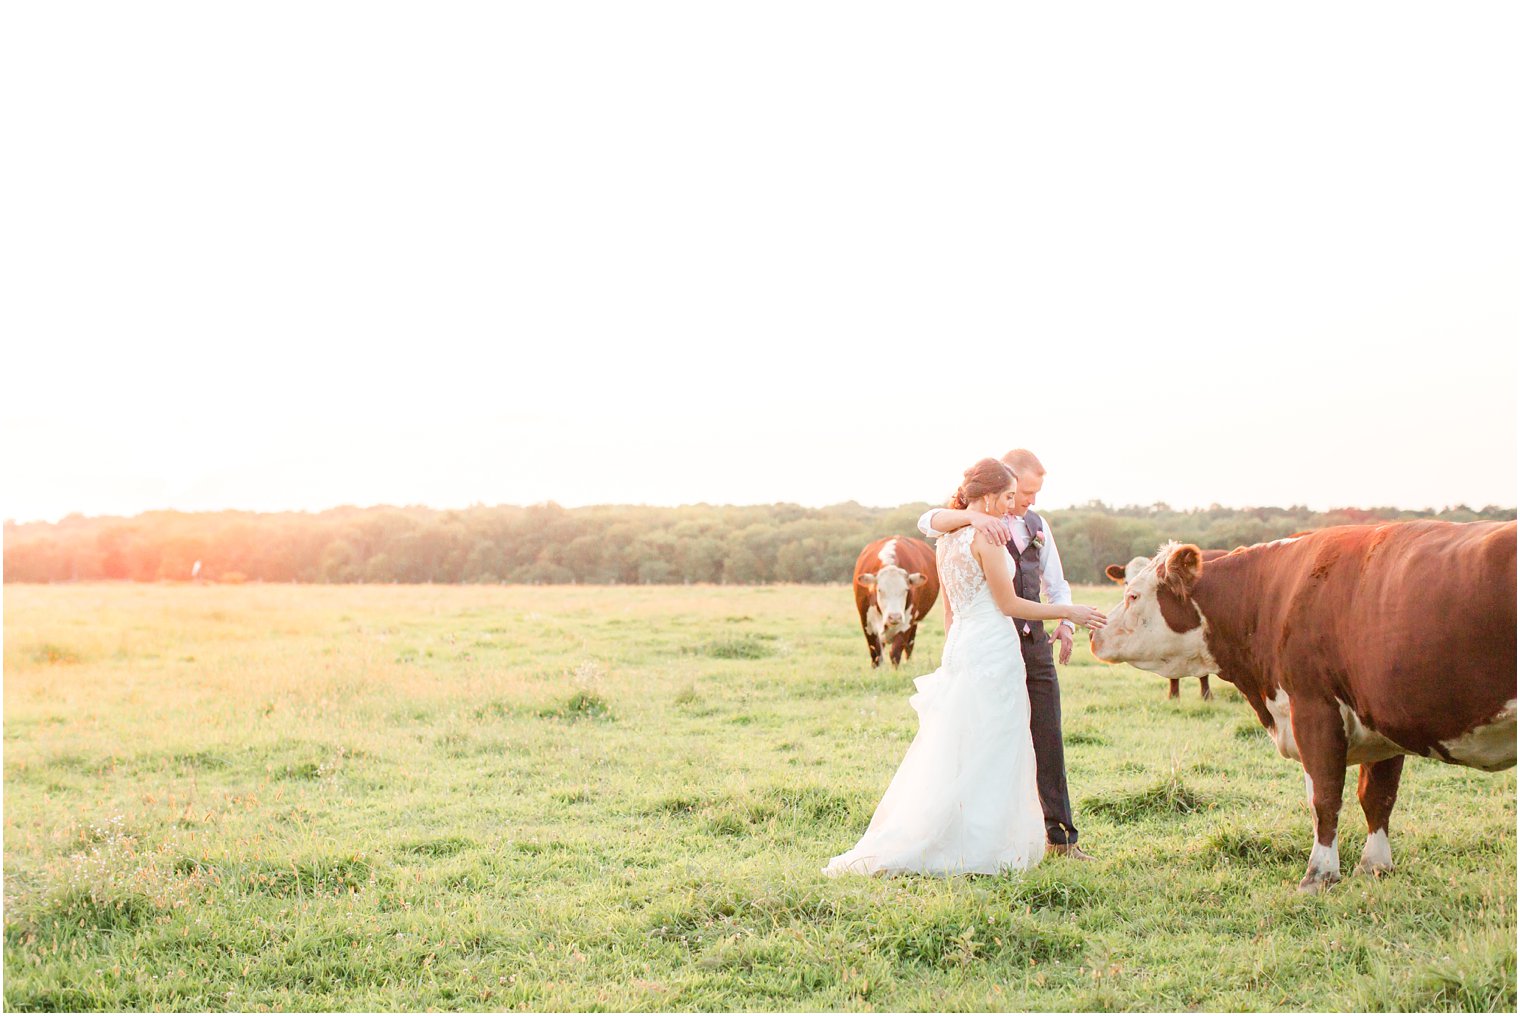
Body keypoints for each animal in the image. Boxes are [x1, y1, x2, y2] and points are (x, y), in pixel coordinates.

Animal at [857, 535, 936, 669]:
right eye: (879, 590)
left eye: (906, 590)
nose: (894, 617)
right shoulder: (867, 623)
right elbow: (875, 655)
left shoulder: (907, 623)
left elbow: (895, 653)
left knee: (909, 646)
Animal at [1100, 520, 1513, 894]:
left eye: (1133, 596)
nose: (1095, 632)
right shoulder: (1383, 721)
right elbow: (1378, 798)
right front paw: (1375, 866)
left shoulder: (1314, 708)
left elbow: (1324, 798)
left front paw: (1319, 874)